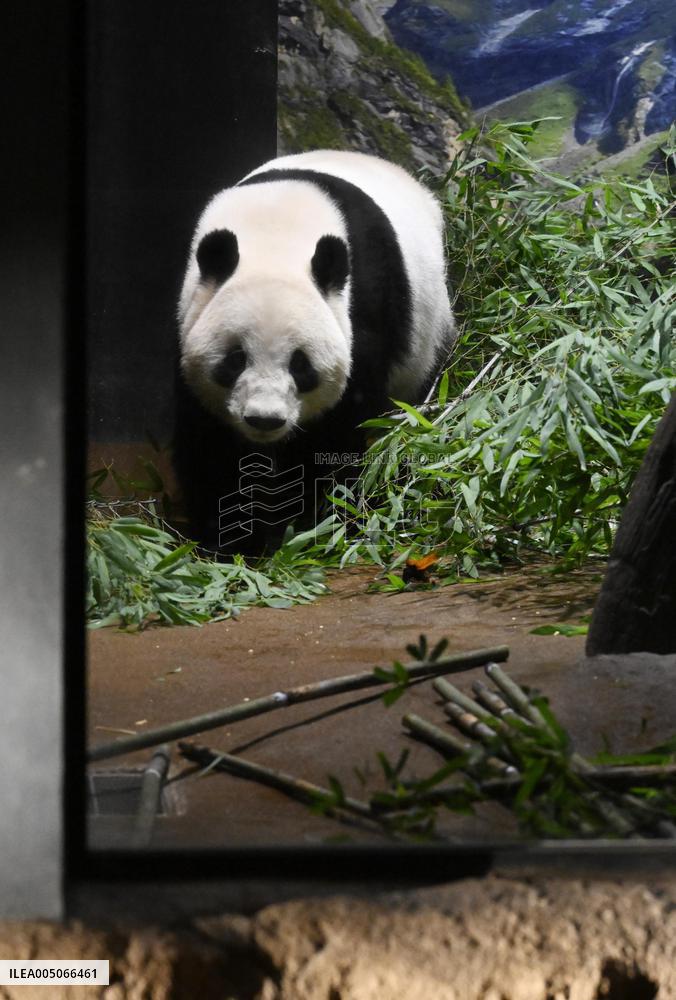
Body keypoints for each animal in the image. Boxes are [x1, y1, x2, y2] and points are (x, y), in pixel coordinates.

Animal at [175, 149, 456, 553]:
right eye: (235, 359)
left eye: (300, 365)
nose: (264, 420)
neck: (275, 237)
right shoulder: (192, 314)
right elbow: (209, 444)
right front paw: (230, 538)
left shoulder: (363, 308)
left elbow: (339, 432)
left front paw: (310, 523)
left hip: (430, 333)